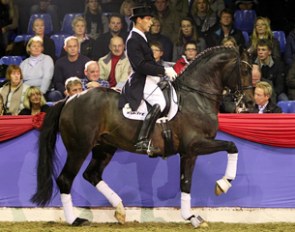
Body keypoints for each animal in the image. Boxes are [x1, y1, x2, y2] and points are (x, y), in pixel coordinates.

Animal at [31, 46, 254, 228]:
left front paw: (191, 217)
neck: (196, 97)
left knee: (92, 174)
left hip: (104, 147)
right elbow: (232, 146)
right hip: (79, 148)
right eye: (245, 71)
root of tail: (70, 99)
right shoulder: (196, 144)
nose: (250, 103)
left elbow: (186, 183)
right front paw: (223, 184)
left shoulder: (189, 152)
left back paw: (120, 210)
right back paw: (75, 220)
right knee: (65, 179)